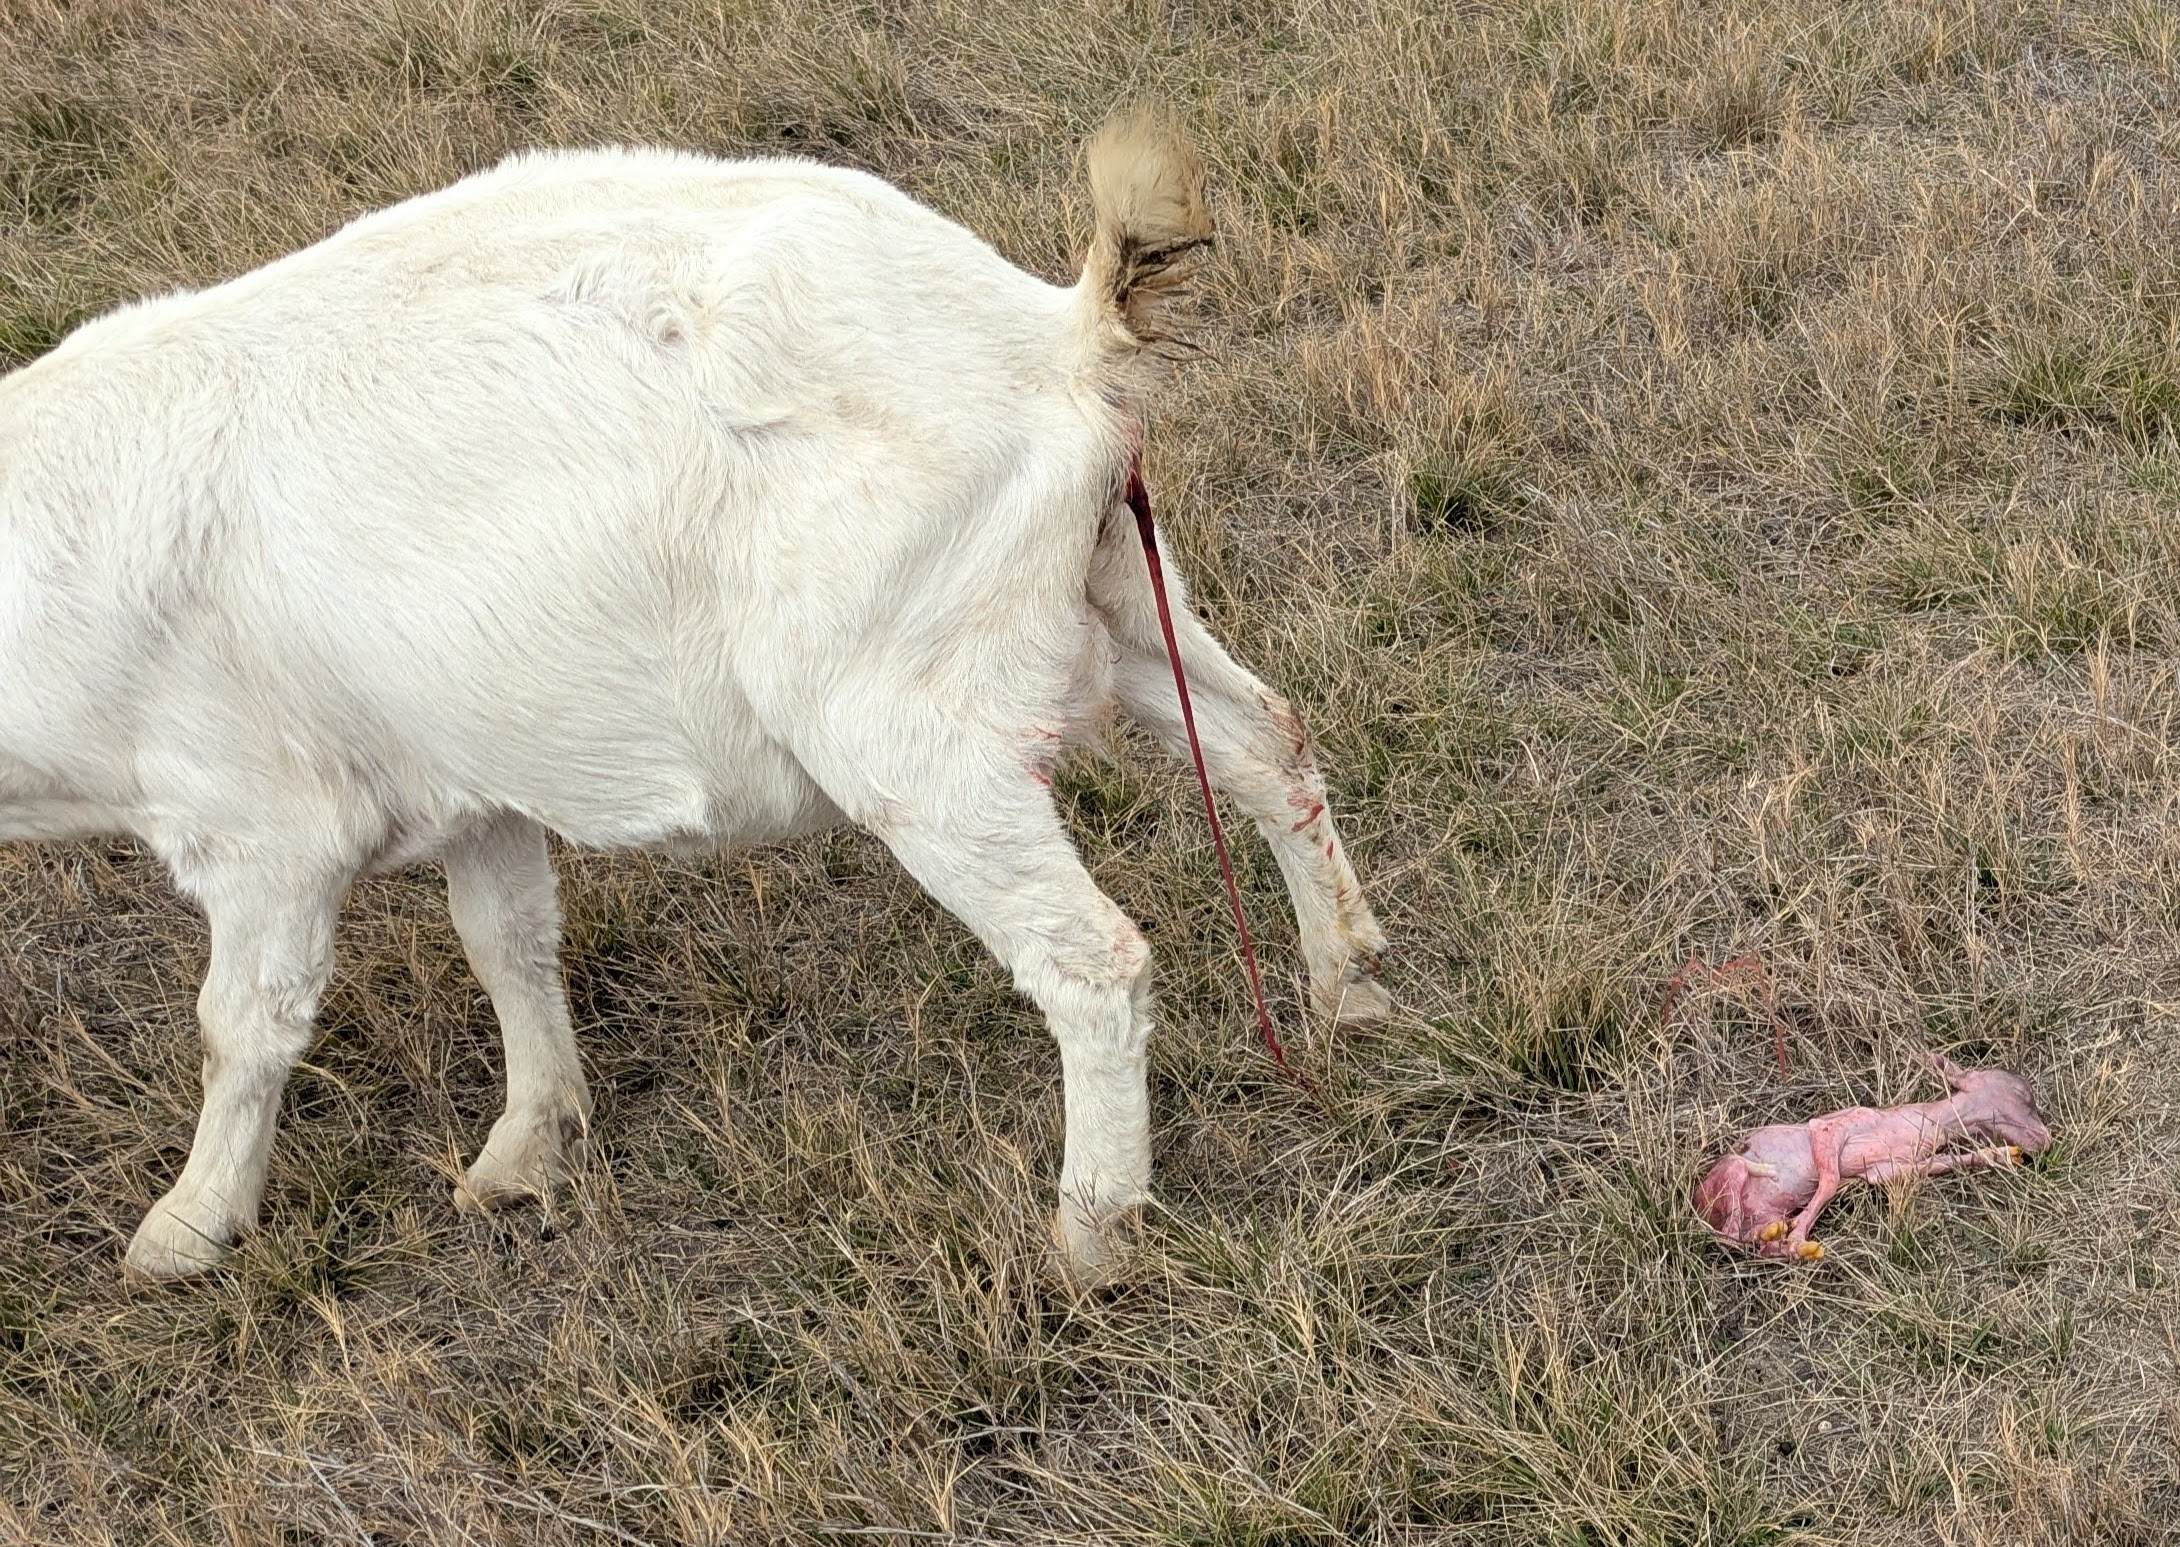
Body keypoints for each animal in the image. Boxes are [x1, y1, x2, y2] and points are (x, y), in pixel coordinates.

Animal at [0, 111, 1388, 1282]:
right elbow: (508, 941)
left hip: (914, 725)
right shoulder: (472, 779)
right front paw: (527, 1146)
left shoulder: (257, 826)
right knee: (1266, 742)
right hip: (1118, 593)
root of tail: (1056, 338)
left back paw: (1093, 1228)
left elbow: (243, 1023)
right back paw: (1347, 990)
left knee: (1090, 957)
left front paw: (185, 1227)